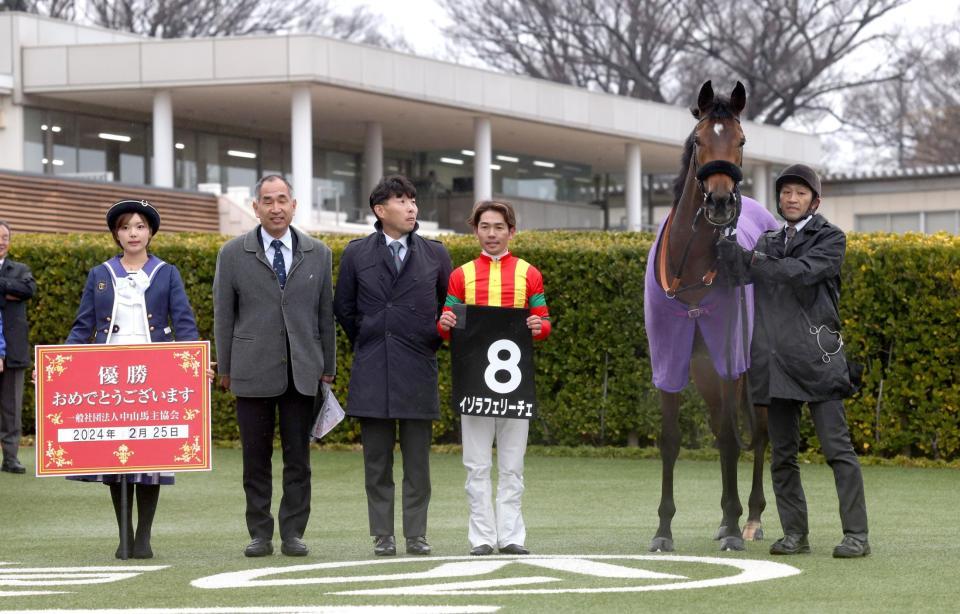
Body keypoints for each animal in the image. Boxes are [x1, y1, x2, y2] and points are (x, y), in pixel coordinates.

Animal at [640, 80, 776, 552]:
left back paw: (750, 518)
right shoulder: (671, 358)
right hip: (703, 369)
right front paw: (663, 530)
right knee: (720, 429)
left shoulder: (728, 358)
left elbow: (735, 440)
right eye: (699, 140)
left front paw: (734, 528)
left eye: (742, 140)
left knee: (759, 433)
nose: (719, 201)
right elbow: (671, 440)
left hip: (749, 365)